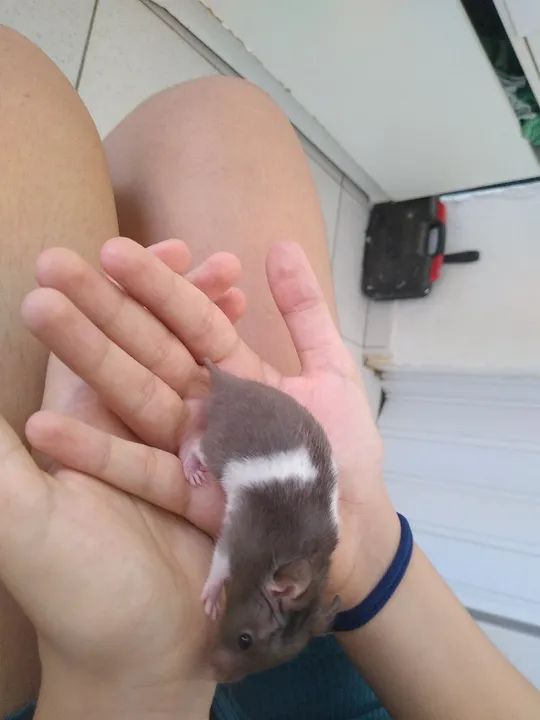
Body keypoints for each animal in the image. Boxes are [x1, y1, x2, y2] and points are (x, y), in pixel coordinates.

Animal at [180, 361, 340, 682]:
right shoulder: (240, 538)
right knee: (193, 445)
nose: (215, 678)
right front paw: (211, 599)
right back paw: (192, 468)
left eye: (273, 663)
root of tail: (229, 384)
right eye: (245, 640)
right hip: (218, 447)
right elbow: (219, 562)